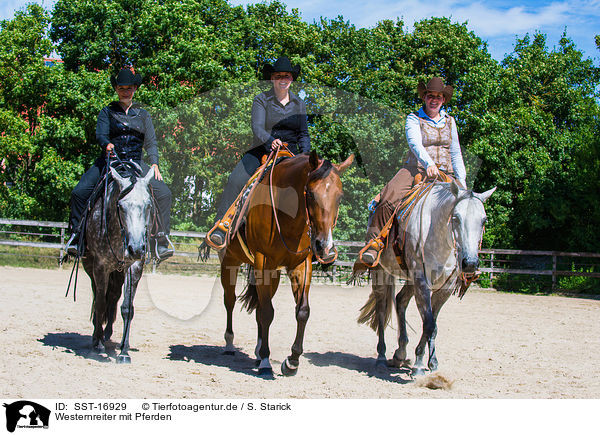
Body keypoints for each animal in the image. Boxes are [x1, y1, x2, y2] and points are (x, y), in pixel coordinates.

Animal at [82, 165, 155, 362]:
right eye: (121, 206)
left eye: (148, 205)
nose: (136, 248)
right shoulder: (100, 267)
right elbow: (100, 304)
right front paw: (97, 346)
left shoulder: (134, 267)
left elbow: (127, 308)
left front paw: (124, 351)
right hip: (91, 267)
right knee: (98, 297)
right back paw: (97, 337)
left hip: (119, 272)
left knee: (113, 297)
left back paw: (109, 335)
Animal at [219, 151, 352, 378]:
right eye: (310, 194)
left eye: (340, 196)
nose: (324, 246)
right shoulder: (263, 261)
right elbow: (267, 313)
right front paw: (266, 361)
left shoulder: (301, 265)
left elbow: (302, 311)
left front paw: (292, 361)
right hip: (230, 262)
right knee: (230, 301)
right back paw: (230, 344)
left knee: (258, 306)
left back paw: (257, 352)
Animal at [358, 179, 494, 376]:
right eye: (456, 218)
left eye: (484, 220)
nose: (470, 263)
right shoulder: (422, 282)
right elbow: (428, 323)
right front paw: (418, 366)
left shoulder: (445, 287)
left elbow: (433, 325)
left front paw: (432, 362)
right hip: (380, 272)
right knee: (382, 310)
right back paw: (382, 357)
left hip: (410, 280)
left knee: (400, 300)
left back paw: (400, 353)